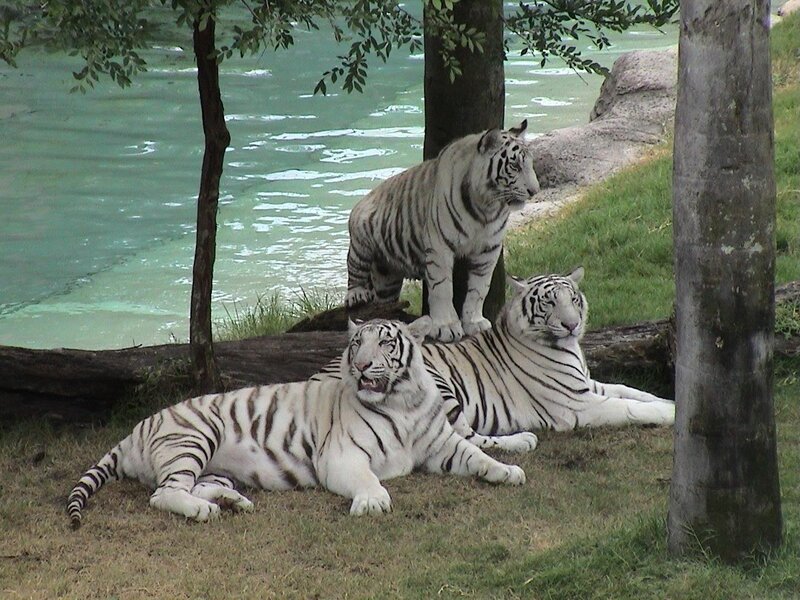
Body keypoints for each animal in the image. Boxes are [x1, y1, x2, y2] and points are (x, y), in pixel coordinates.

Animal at [67, 317, 525, 528]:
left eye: (385, 343)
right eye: (356, 343)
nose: (361, 366)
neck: (403, 402)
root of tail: (136, 428)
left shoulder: (442, 445)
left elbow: (478, 455)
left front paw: (509, 470)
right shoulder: (341, 456)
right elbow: (369, 479)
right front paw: (373, 501)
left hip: (214, 467)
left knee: (195, 486)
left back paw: (234, 502)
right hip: (193, 439)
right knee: (165, 494)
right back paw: (204, 511)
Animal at [315, 268, 674, 451]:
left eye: (573, 299)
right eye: (549, 303)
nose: (572, 324)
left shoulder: (588, 384)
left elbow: (632, 391)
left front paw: (669, 400)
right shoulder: (577, 405)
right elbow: (631, 407)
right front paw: (670, 414)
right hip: (441, 387)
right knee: (468, 438)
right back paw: (522, 441)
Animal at [345, 120, 540, 343]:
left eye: (530, 164)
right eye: (515, 166)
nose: (535, 191)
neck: (486, 207)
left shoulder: (488, 250)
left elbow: (480, 288)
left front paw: (474, 322)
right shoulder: (440, 247)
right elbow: (442, 288)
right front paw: (446, 326)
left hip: (387, 279)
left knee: (384, 298)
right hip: (361, 240)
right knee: (354, 270)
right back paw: (356, 294)